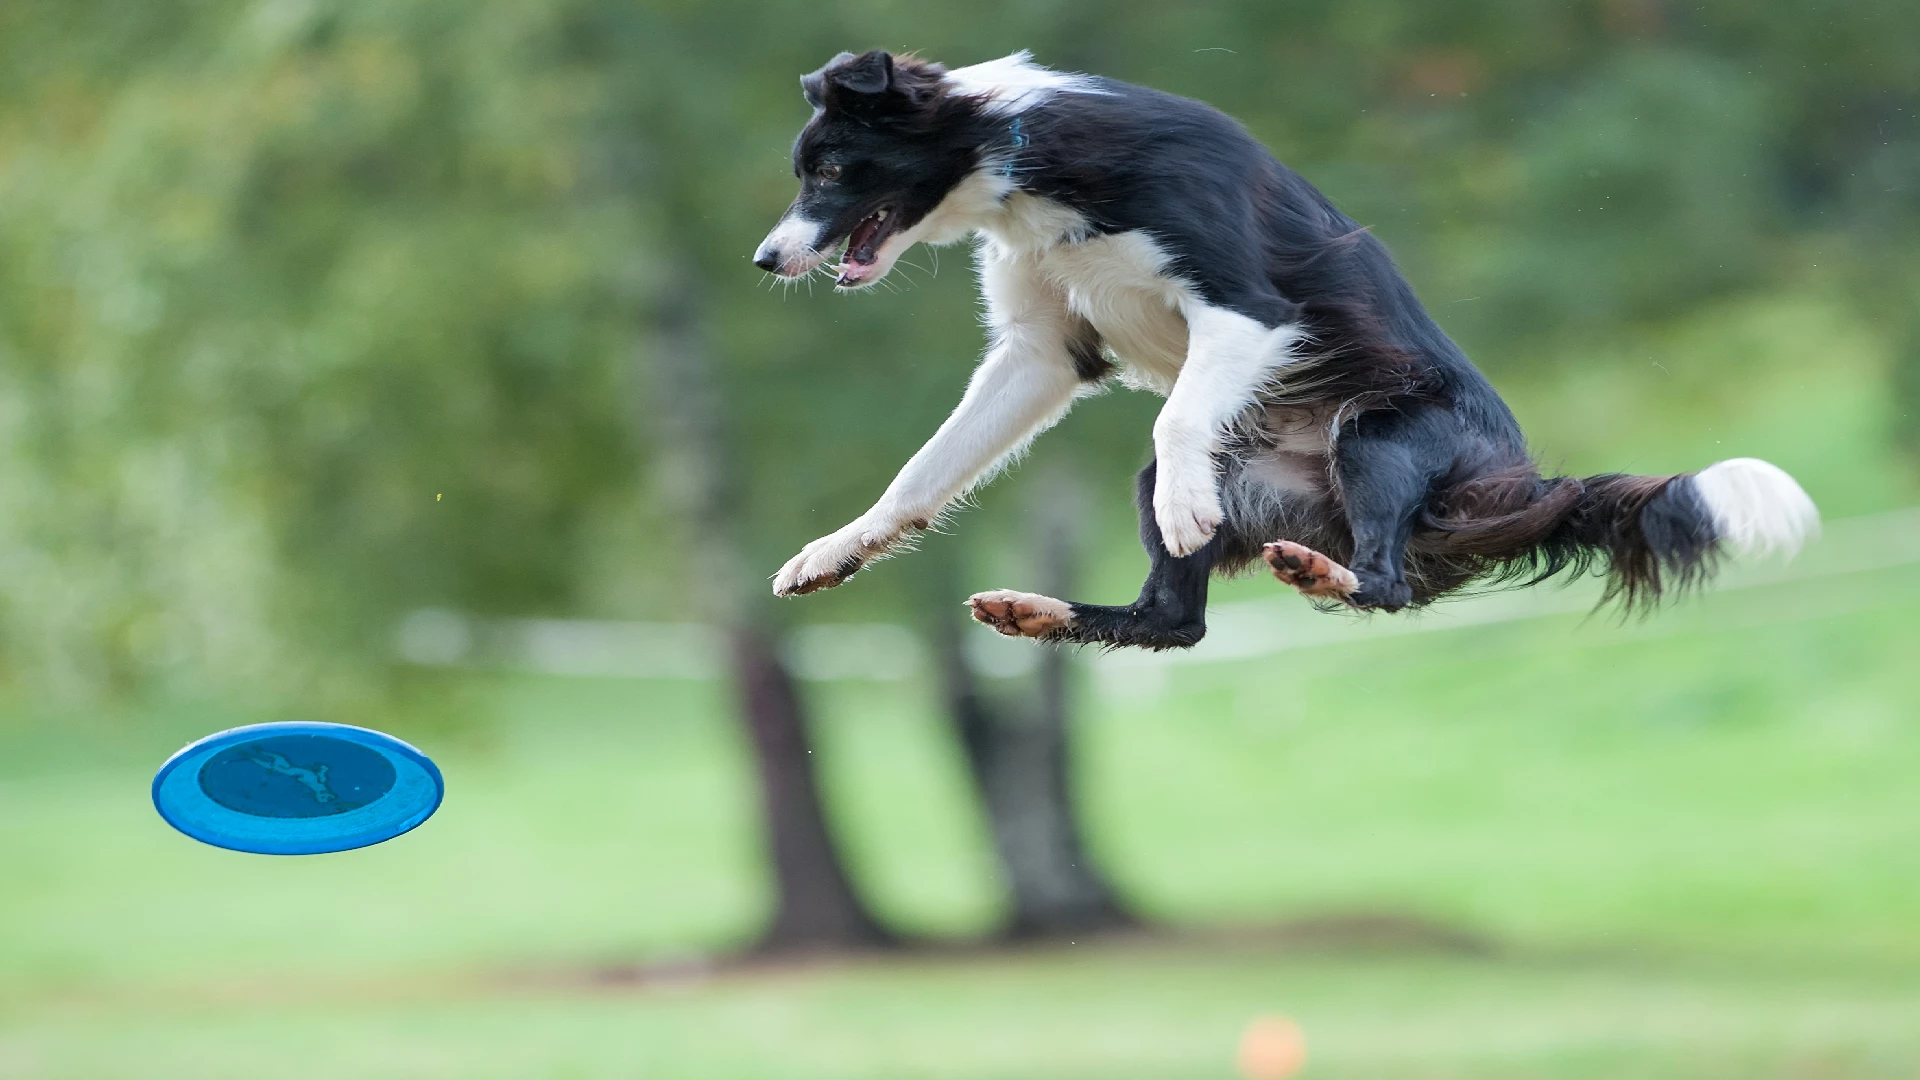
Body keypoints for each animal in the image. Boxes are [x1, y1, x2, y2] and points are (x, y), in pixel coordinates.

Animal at [752, 52, 1812, 645]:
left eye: (832, 168)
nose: (764, 259)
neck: (1021, 153)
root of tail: (1512, 488)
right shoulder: (1042, 352)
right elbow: (922, 473)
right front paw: (833, 552)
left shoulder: (1243, 309)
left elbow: (1179, 411)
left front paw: (1190, 510)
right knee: (1174, 625)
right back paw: (1041, 612)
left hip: (1378, 435)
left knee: (1385, 588)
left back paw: (1321, 571)